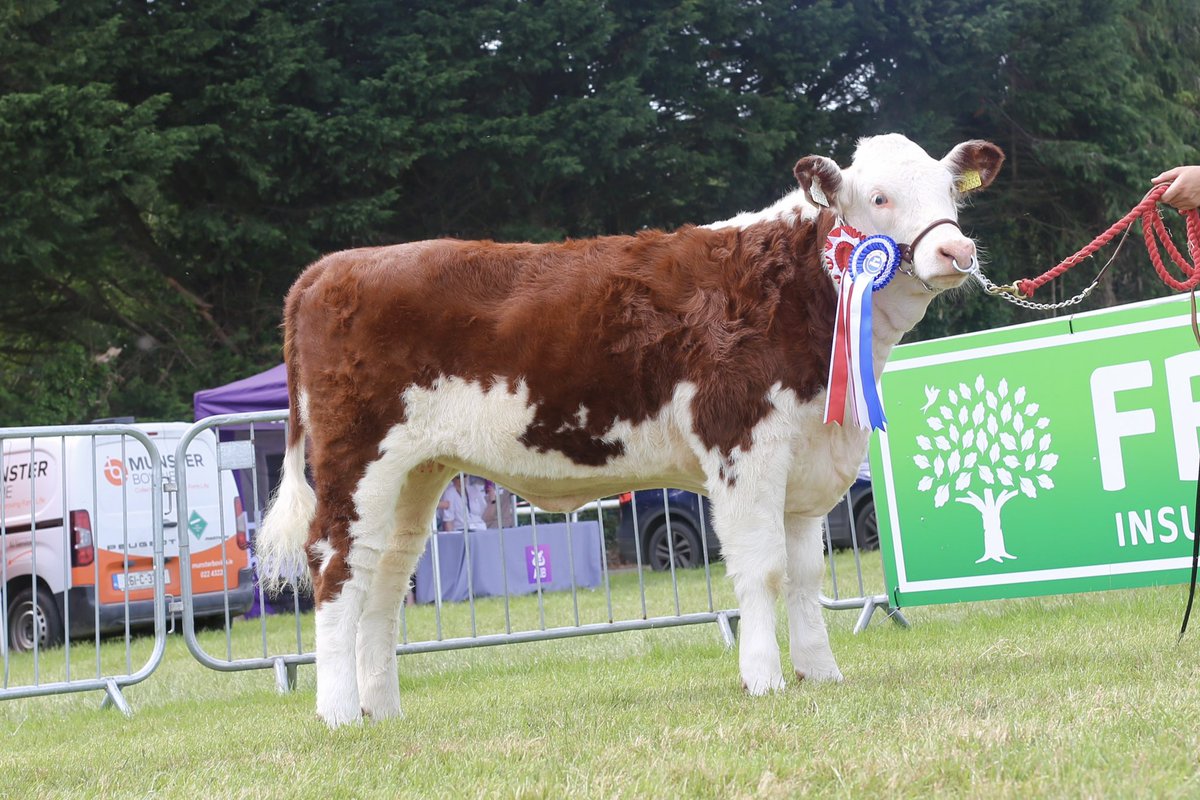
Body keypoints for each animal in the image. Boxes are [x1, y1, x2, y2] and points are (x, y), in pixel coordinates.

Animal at [257, 133, 1004, 727]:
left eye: (949, 191)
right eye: (879, 197)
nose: (956, 249)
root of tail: (330, 268)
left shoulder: (806, 458)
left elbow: (804, 573)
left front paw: (820, 674)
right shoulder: (741, 443)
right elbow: (760, 570)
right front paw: (764, 680)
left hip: (415, 474)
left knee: (382, 582)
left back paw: (380, 710)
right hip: (357, 461)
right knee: (335, 571)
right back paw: (337, 714)